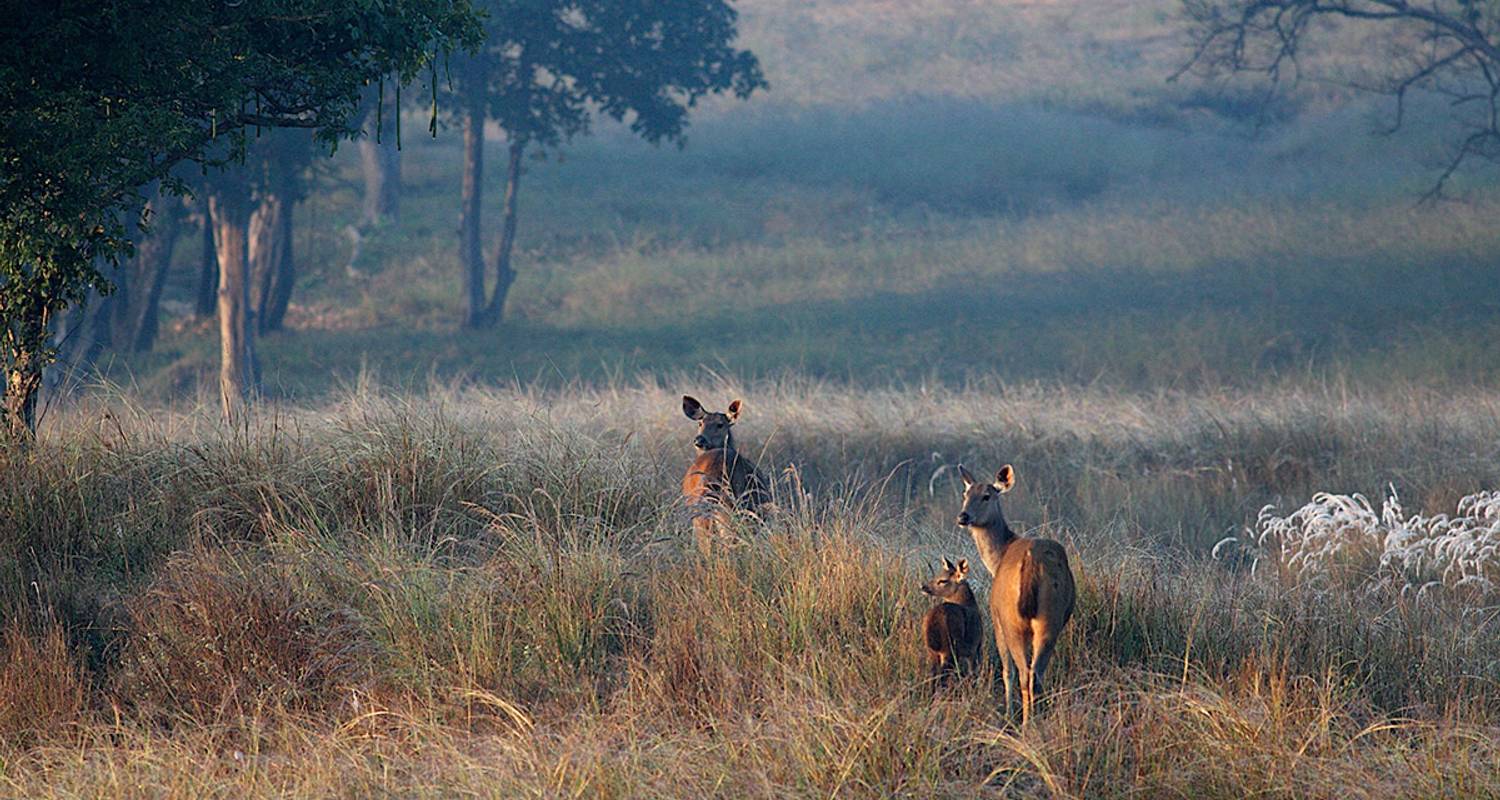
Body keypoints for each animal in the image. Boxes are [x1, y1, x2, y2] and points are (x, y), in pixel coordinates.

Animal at [954, 462, 1074, 723]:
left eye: (986, 496)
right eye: (965, 494)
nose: (963, 516)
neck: (998, 559)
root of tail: (1031, 562)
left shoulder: (995, 619)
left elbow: (1006, 670)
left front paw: (1008, 712)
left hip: (1012, 622)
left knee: (1023, 673)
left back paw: (1025, 722)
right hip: (1051, 617)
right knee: (1036, 675)